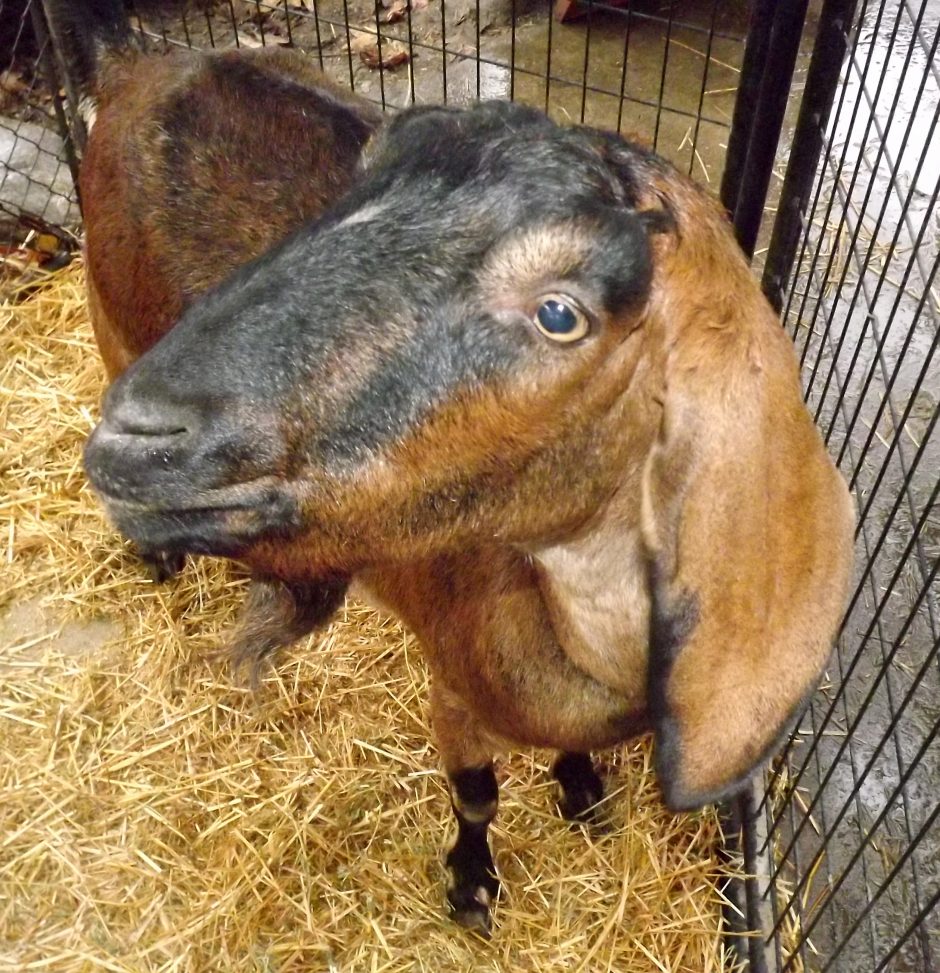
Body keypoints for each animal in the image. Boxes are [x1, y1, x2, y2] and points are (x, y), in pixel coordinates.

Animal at [84, 100, 855, 935]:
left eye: (560, 314)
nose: (138, 431)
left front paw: (580, 788)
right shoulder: (451, 691)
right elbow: (477, 797)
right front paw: (472, 883)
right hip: (107, 322)